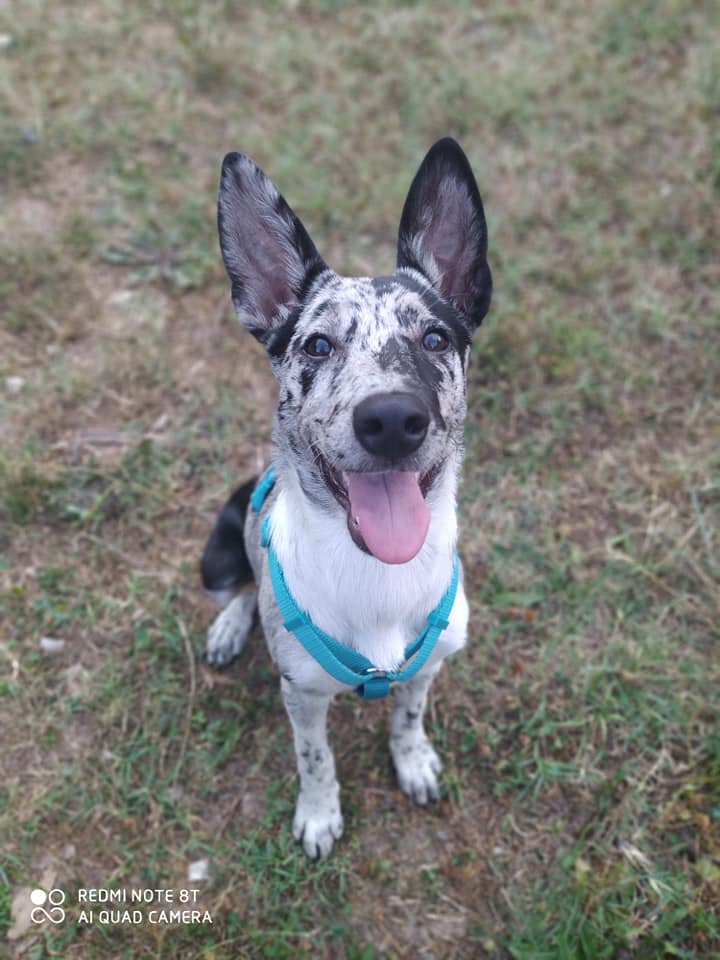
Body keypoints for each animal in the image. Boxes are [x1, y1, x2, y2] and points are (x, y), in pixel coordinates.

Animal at [201, 138, 492, 858]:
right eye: (317, 344)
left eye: (435, 338)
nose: (389, 420)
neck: (374, 573)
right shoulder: (302, 695)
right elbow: (315, 758)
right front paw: (319, 814)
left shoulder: (427, 667)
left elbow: (407, 718)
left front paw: (413, 762)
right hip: (216, 551)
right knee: (238, 587)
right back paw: (228, 628)